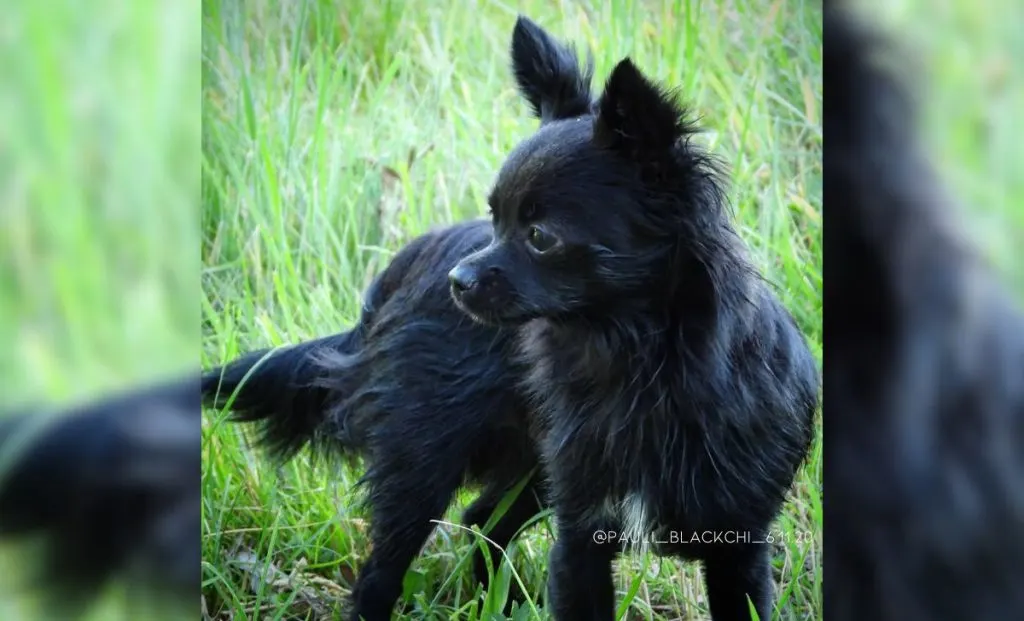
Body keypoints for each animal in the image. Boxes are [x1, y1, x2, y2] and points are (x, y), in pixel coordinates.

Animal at [452, 18, 819, 621]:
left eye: (540, 236)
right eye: (493, 218)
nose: (456, 279)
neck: (637, 363)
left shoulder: (739, 546)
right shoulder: (580, 534)